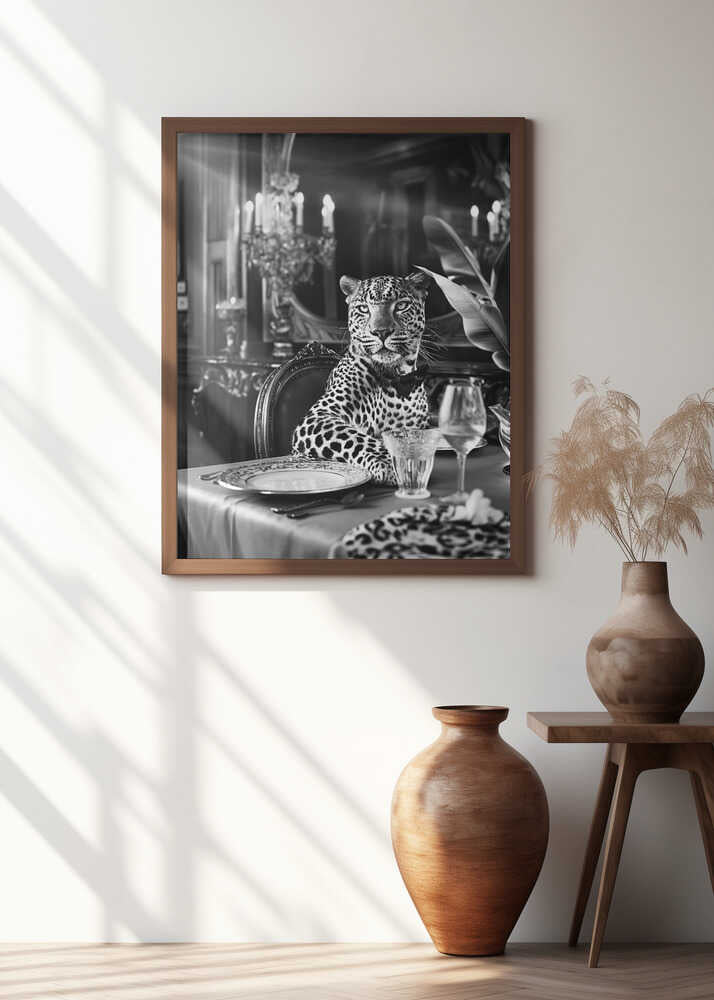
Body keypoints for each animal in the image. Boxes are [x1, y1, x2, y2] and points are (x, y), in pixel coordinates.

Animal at [291, 272, 433, 484]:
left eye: (401, 306)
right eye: (363, 309)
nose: (381, 332)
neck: (396, 378)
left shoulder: (418, 428)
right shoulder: (319, 416)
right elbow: (355, 437)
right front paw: (390, 463)